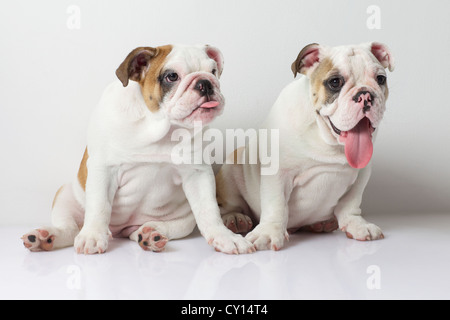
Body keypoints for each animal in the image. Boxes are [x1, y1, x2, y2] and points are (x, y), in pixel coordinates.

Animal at [22, 44, 255, 255]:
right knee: (70, 228)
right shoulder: (104, 168)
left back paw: (151, 235)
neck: (159, 126)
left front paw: (225, 237)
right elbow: (99, 206)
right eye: (172, 76)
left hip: (183, 218)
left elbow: (209, 212)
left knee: (158, 228)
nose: (205, 83)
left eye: (213, 71)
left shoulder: (197, 174)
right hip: (65, 195)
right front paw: (93, 236)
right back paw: (45, 238)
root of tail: (119, 231)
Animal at [216, 42, 396, 250]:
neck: (326, 139)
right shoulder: (278, 173)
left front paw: (357, 224)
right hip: (230, 169)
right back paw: (235, 218)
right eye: (335, 82)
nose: (365, 95)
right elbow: (276, 205)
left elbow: (351, 203)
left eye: (381, 79)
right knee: (229, 205)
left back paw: (321, 223)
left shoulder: (361, 174)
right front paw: (269, 233)